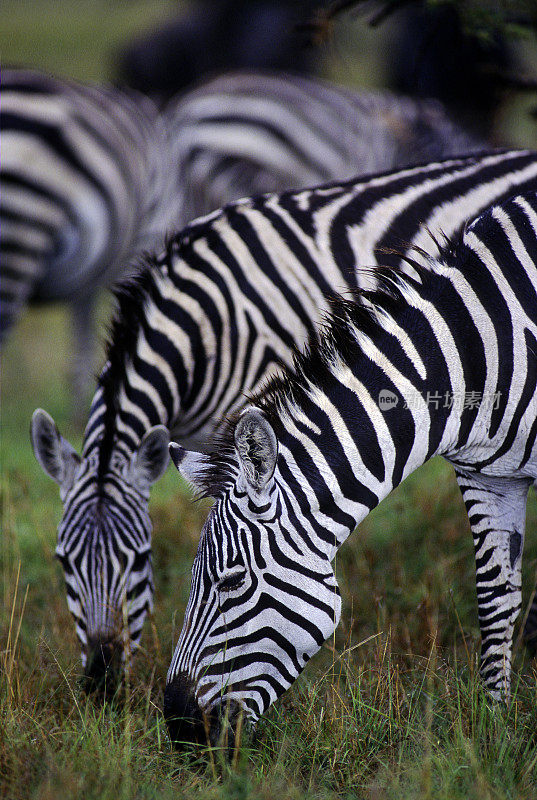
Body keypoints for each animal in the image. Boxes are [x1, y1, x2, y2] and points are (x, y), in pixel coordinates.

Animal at [163, 192, 536, 752]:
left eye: (231, 582)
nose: (178, 726)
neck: (477, 353)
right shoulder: (489, 477)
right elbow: (495, 600)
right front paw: (496, 729)